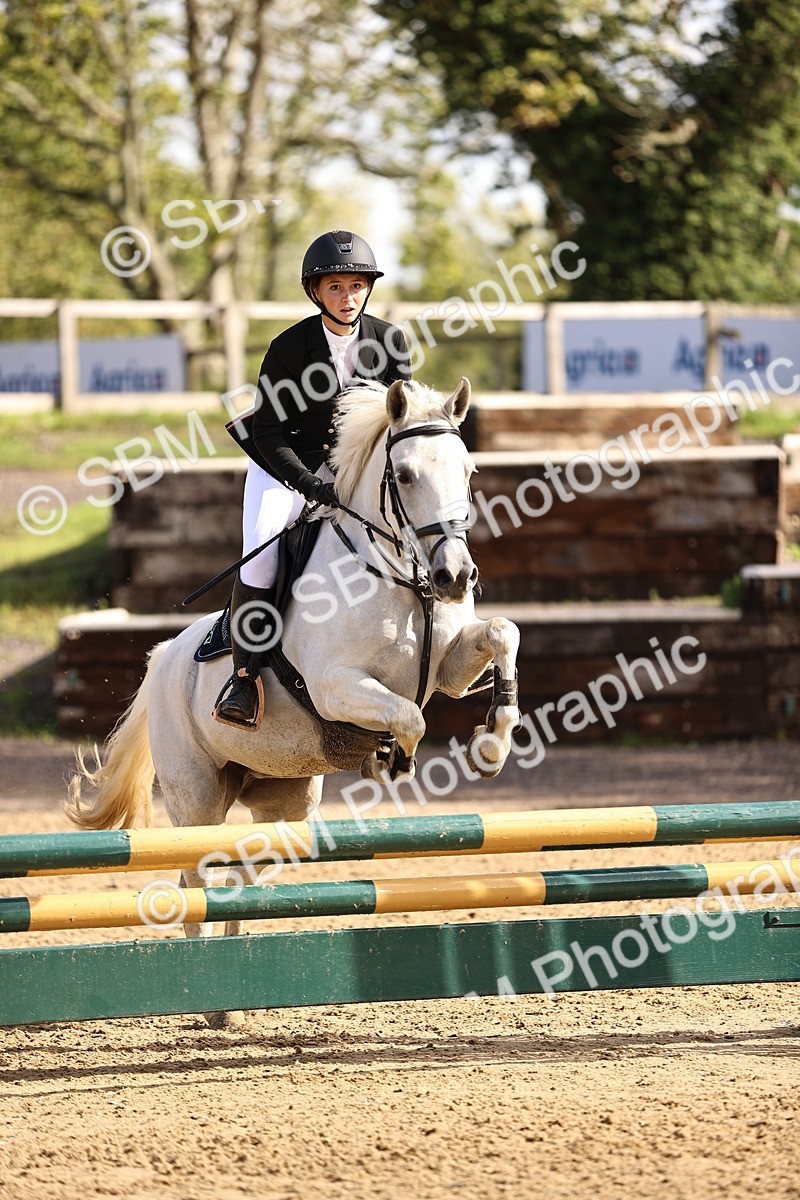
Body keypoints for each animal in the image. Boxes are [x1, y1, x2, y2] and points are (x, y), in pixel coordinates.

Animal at [67, 376, 521, 1023]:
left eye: (468, 470)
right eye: (405, 475)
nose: (455, 576)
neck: (399, 576)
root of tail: (164, 658)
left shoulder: (452, 665)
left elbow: (503, 633)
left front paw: (492, 744)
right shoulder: (336, 687)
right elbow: (408, 716)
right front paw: (390, 759)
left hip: (282, 802)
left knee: (243, 877)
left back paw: (234, 986)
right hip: (196, 796)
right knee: (193, 880)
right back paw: (209, 991)